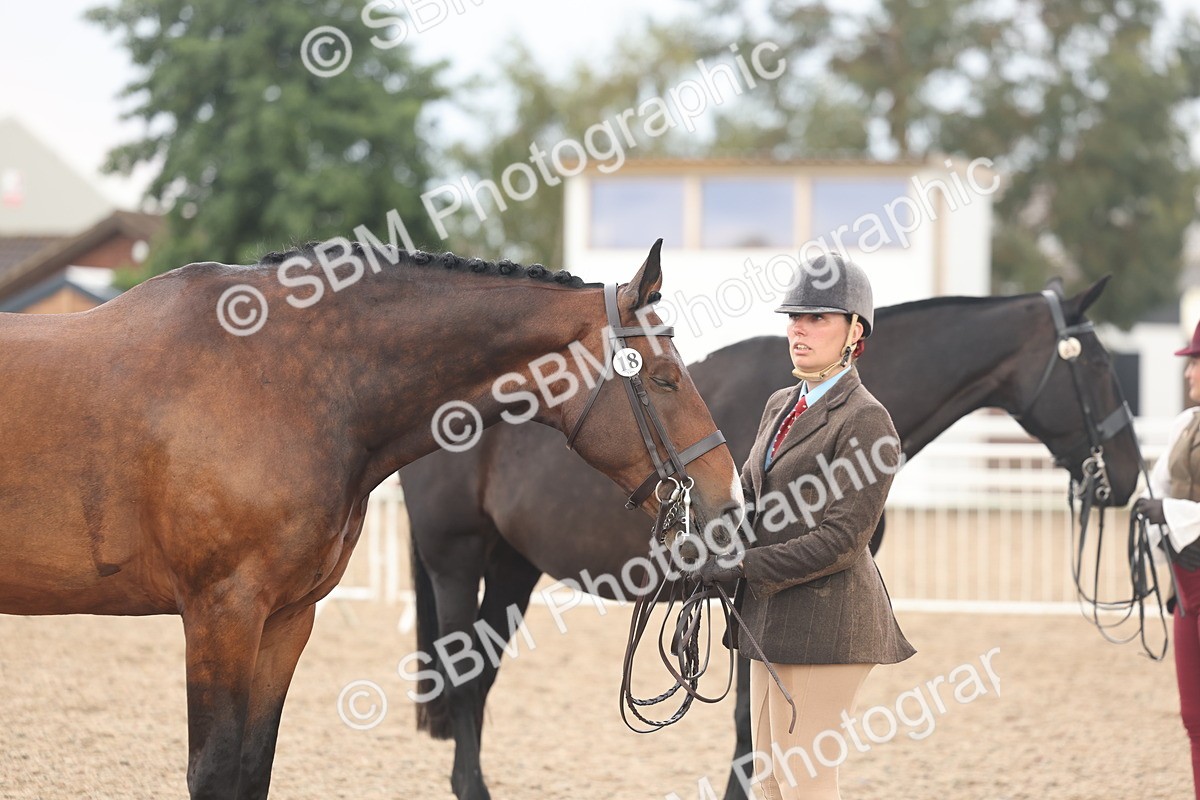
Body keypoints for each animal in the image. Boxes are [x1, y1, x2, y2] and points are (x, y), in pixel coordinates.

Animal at [0, 239, 746, 800]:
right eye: (663, 380)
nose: (727, 500)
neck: (277, 379)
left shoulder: (285, 619)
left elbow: (251, 770)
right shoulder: (221, 614)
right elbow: (212, 774)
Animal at [402, 278, 1142, 800]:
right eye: (1100, 367)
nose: (1129, 475)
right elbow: (749, 728)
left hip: (512, 567)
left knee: (482, 680)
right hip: (454, 562)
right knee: (463, 682)